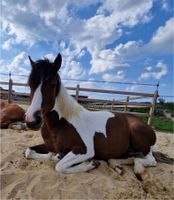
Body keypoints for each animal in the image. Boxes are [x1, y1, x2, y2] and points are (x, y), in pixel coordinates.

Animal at [24, 53, 158, 181]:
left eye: (52, 84)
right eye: (30, 84)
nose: (32, 120)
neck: (60, 124)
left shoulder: (85, 151)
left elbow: (59, 166)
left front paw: (90, 164)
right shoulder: (48, 146)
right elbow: (28, 152)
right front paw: (54, 156)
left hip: (138, 135)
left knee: (149, 160)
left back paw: (138, 170)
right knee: (128, 157)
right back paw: (118, 166)